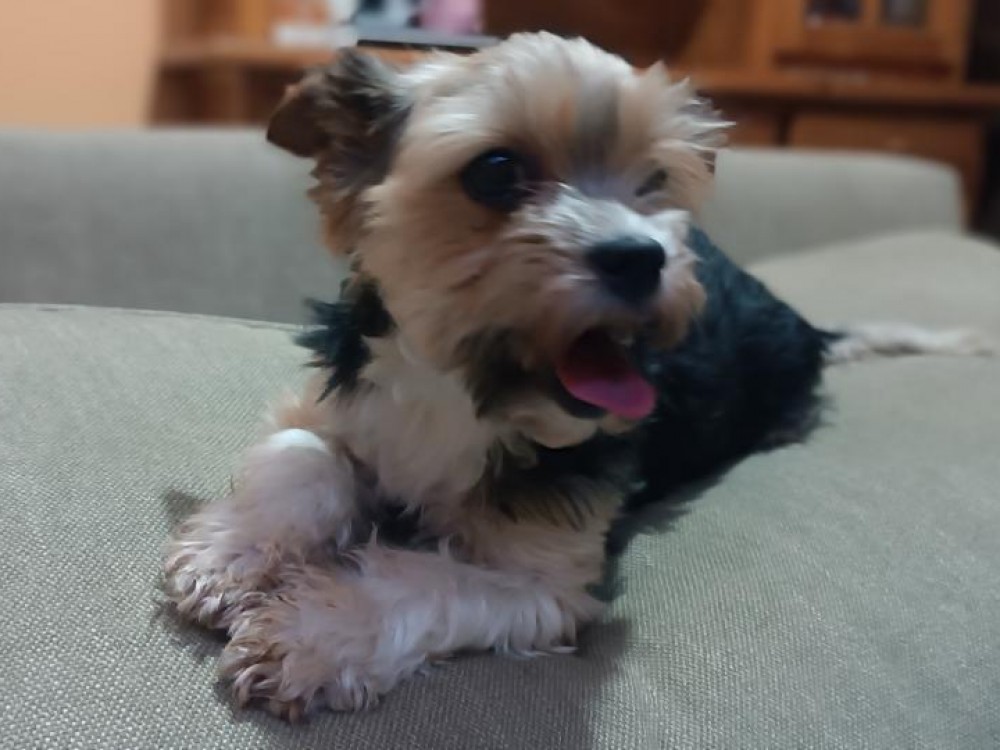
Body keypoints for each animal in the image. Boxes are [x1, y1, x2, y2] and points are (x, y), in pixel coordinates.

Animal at [163, 32, 989, 719]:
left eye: (654, 180)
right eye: (496, 171)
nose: (643, 257)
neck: (460, 391)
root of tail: (806, 323)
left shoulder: (543, 583)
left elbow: (419, 580)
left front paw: (310, 634)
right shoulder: (337, 403)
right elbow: (301, 456)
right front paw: (230, 554)